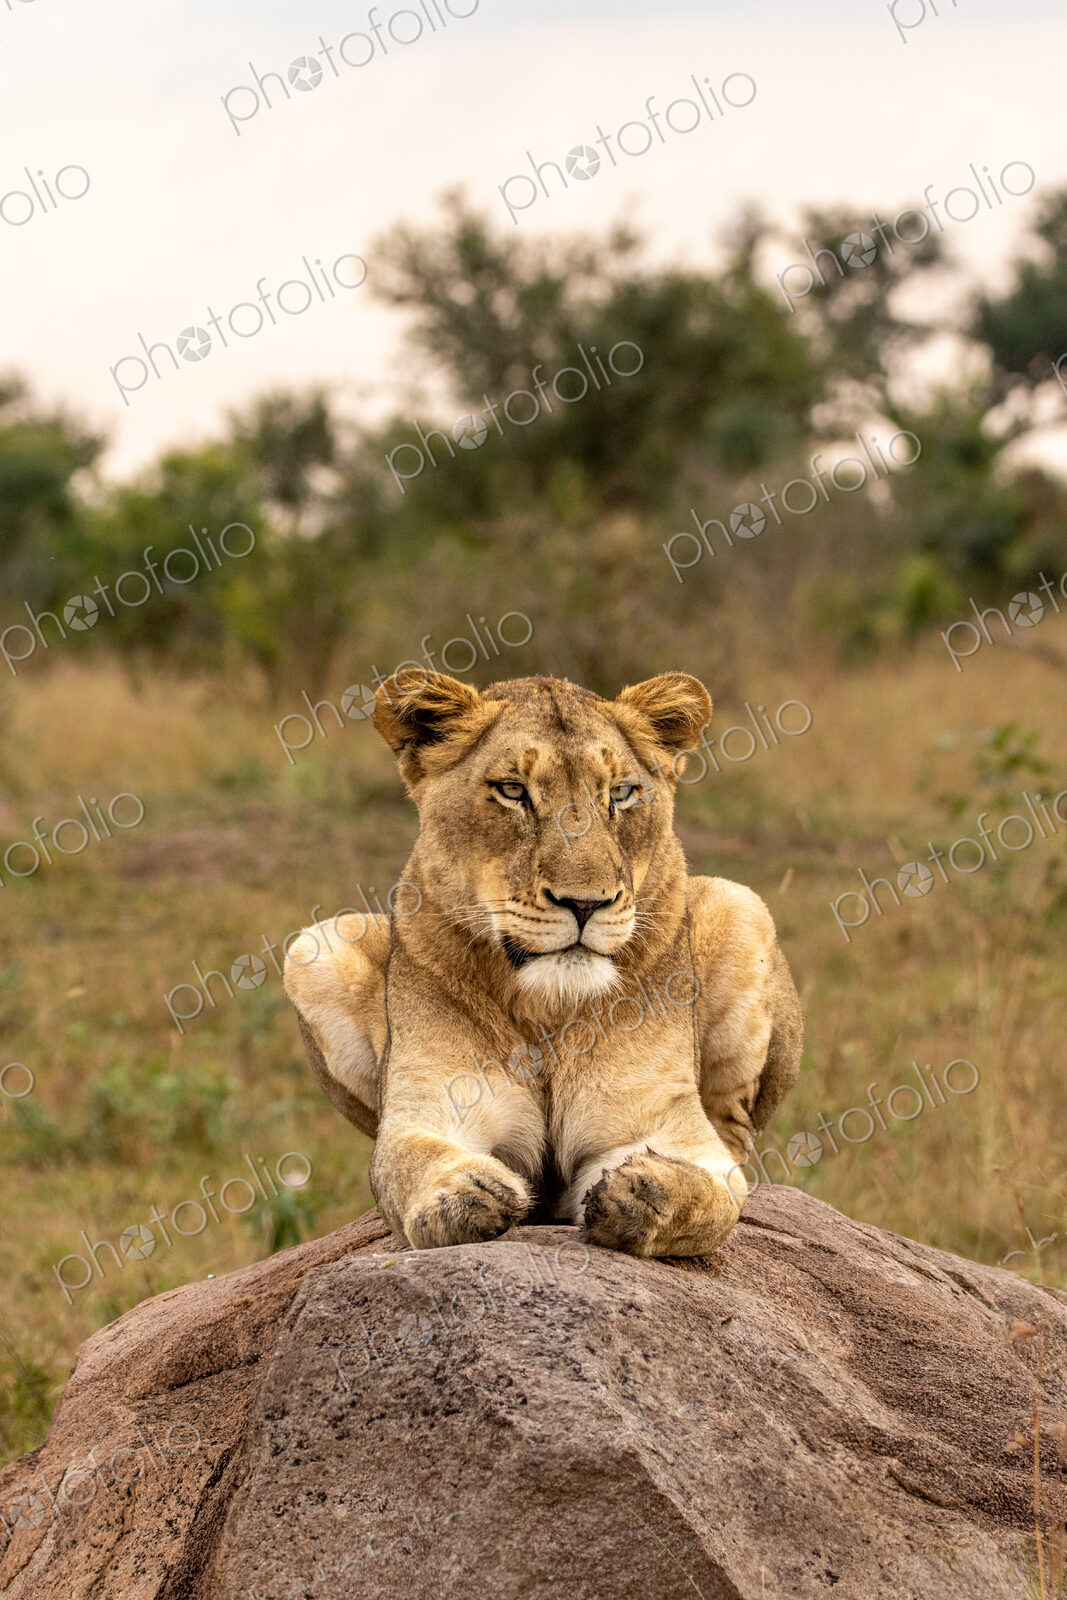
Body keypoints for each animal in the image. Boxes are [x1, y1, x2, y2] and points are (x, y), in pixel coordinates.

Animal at [283, 668, 803, 1258]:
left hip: (741, 902)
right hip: (313, 944)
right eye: (513, 790)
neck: (547, 1009)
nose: (586, 903)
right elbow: (411, 1158)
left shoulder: (660, 1120)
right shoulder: (427, 1107)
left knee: (737, 1139)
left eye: (621, 793)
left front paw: (648, 1190)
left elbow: (717, 1198)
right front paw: (467, 1193)